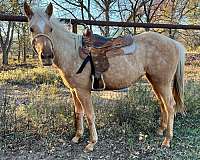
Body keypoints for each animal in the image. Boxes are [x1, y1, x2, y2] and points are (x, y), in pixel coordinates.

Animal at [24, 2, 185, 152]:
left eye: (50, 29)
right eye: (31, 29)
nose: (46, 56)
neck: (71, 52)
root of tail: (174, 43)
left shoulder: (83, 91)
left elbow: (89, 114)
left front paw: (91, 143)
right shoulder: (74, 90)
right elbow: (78, 112)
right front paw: (77, 137)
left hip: (163, 82)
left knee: (170, 105)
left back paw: (167, 140)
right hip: (155, 81)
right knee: (162, 104)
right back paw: (160, 130)